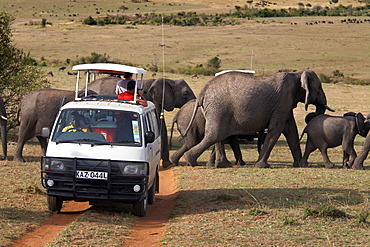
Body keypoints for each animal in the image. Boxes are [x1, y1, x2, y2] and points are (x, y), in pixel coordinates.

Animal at [182, 70, 332, 169]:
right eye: (319, 87)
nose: (312, 113)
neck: (297, 73)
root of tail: (203, 92)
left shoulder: (286, 103)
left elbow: (291, 129)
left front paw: (300, 165)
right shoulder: (283, 100)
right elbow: (276, 129)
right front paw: (262, 166)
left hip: (216, 109)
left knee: (217, 135)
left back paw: (222, 165)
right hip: (218, 108)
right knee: (215, 134)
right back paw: (191, 160)